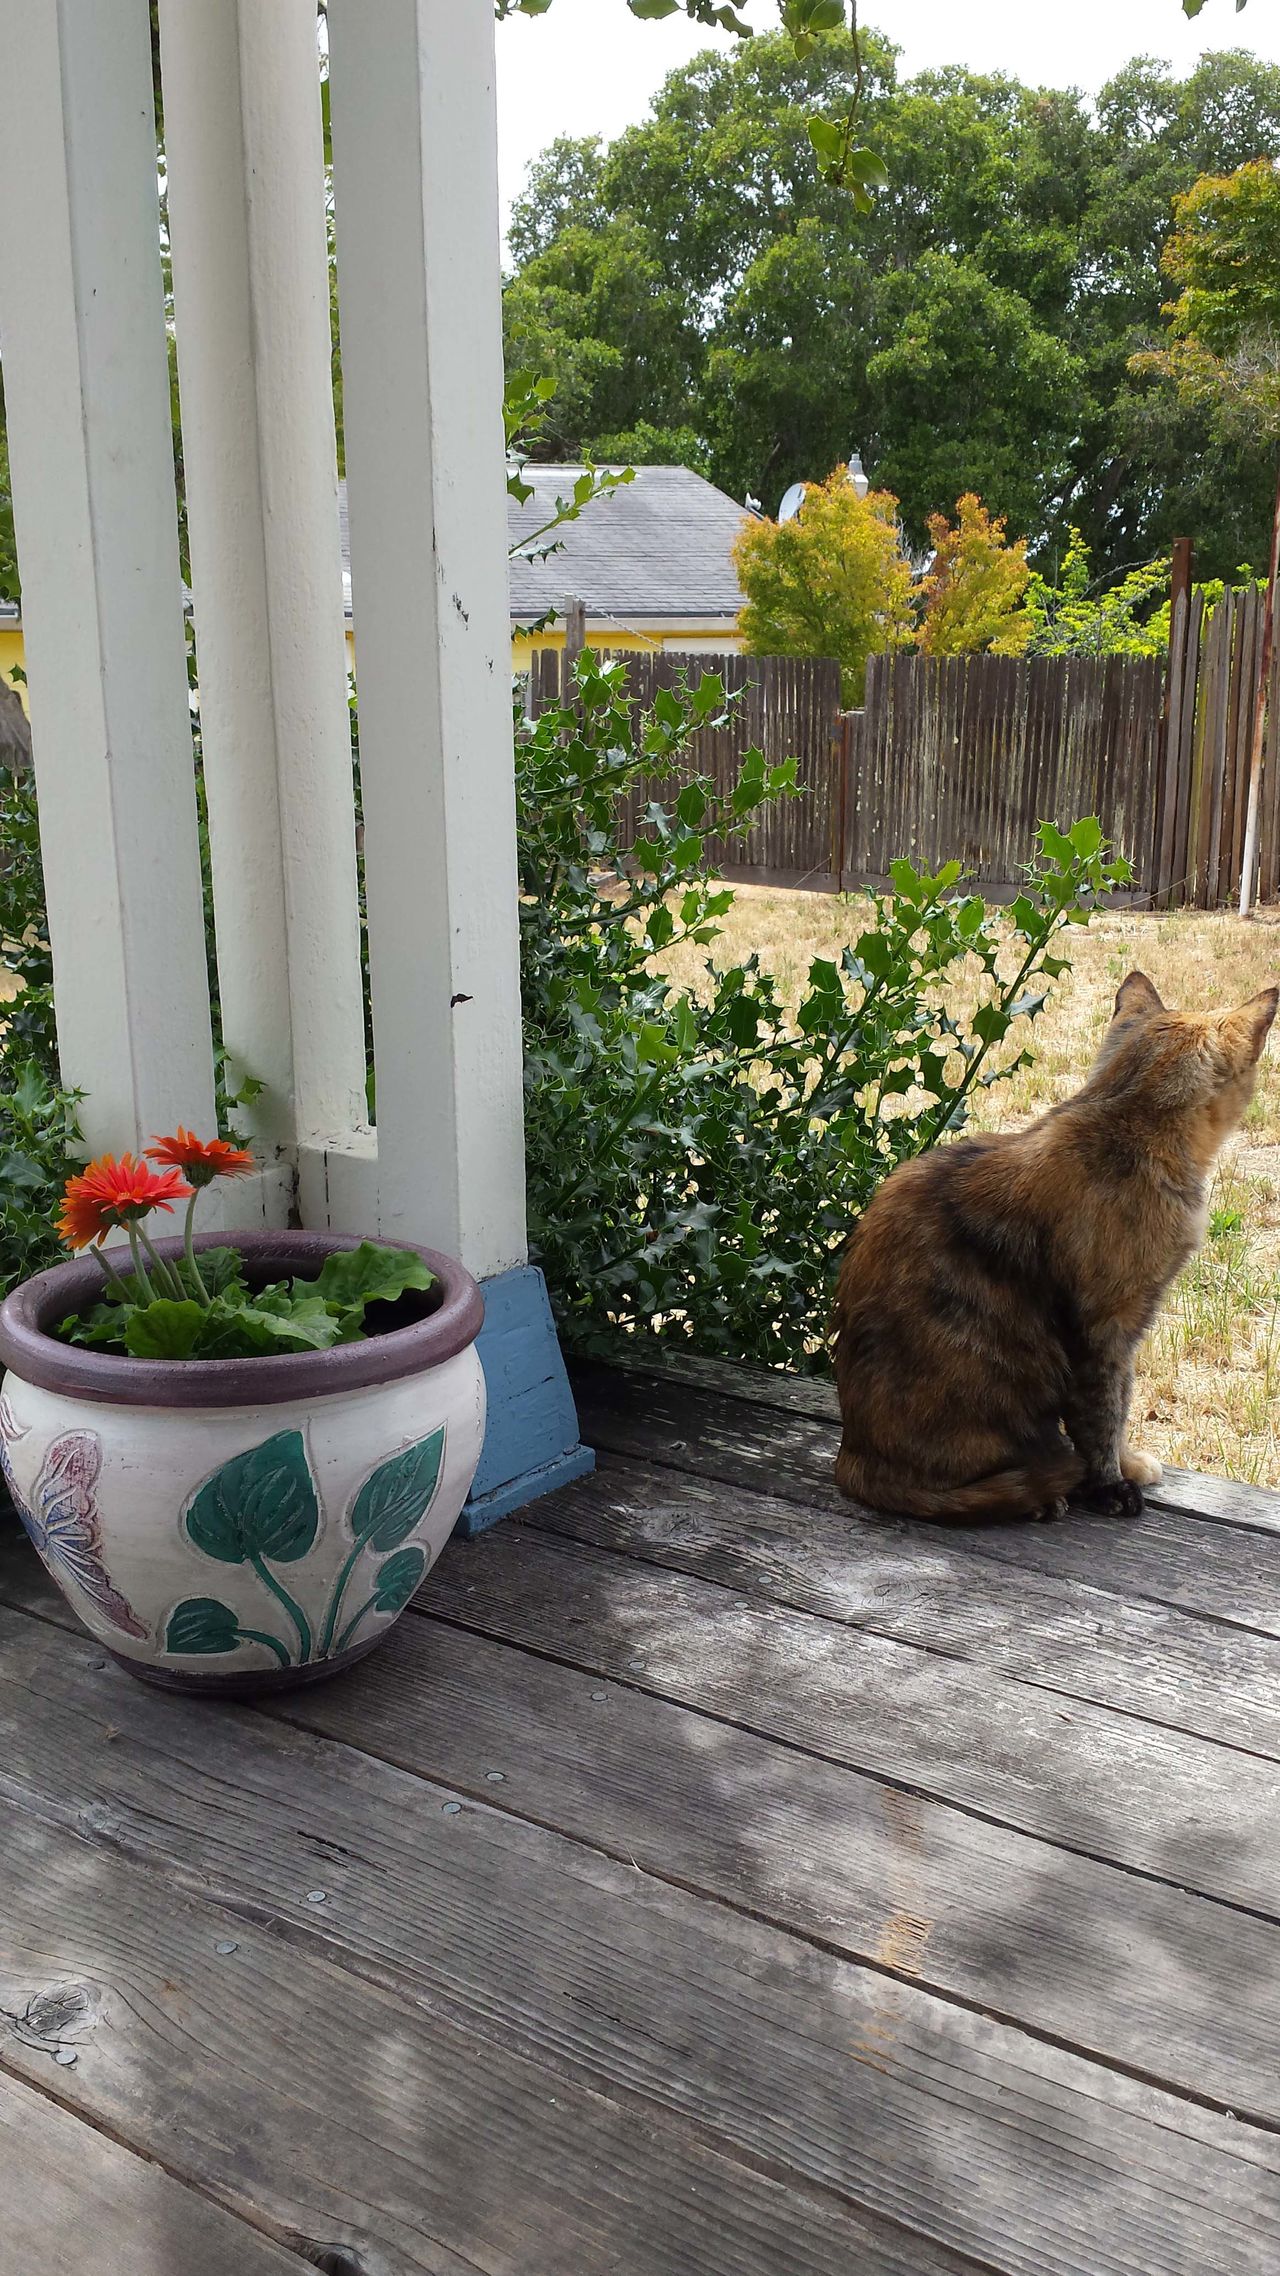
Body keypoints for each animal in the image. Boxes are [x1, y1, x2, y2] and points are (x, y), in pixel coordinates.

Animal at [833, 969, 1266, 1520]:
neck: (1124, 1118)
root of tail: (852, 1458)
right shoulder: (1107, 1326)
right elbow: (1105, 1412)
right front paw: (1111, 1485)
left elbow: (1120, 1409)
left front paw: (1129, 1463)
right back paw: (1041, 1497)